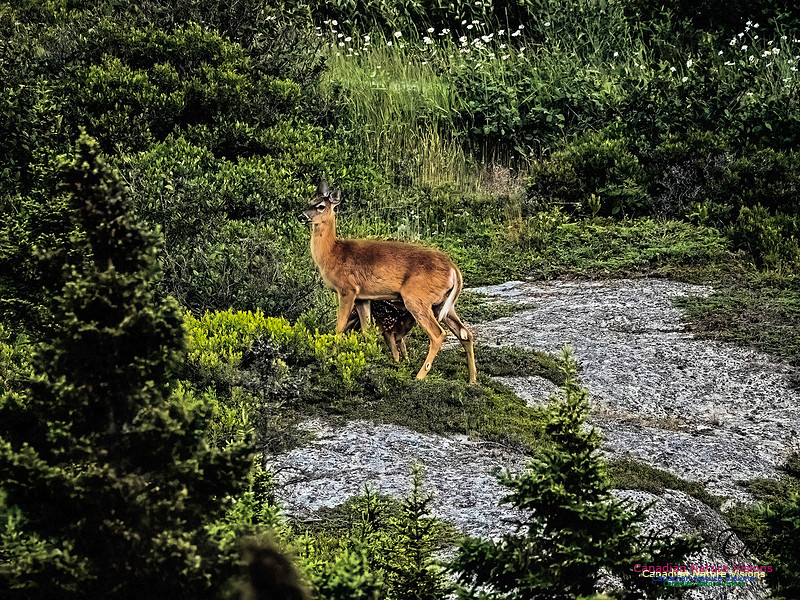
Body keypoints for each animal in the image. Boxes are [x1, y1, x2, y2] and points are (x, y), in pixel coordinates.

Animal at [299, 179, 477, 383]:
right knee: (465, 333)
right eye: (309, 201)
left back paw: (419, 376)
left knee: (438, 334)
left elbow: (339, 326)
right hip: (443, 305)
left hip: (417, 298)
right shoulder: (363, 297)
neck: (333, 253)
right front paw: (368, 356)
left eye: (320, 206)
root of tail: (454, 269)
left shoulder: (347, 289)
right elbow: (367, 330)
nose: (301, 216)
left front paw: (332, 357)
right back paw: (472, 379)